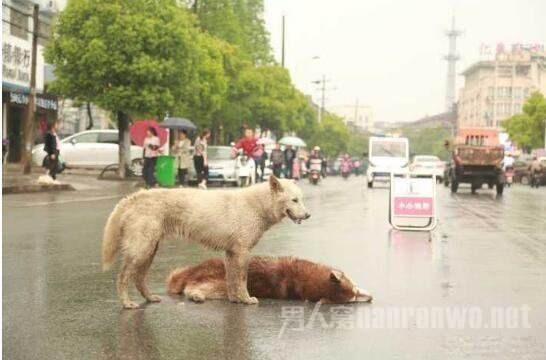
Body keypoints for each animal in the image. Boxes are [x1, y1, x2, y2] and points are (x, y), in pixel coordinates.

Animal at [100, 176, 308, 308]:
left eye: (301, 199)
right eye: (294, 200)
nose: (308, 215)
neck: (257, 205)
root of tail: (133, 198)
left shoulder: (231, 253)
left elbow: (231, 279)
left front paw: (235, 300)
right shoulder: (242, 251)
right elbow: (242, 279)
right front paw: (247, 299)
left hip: (149, 250)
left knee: (139, 278)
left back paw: (150, 298)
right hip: (141, 250)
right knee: (122, 277)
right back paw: (127, 303)